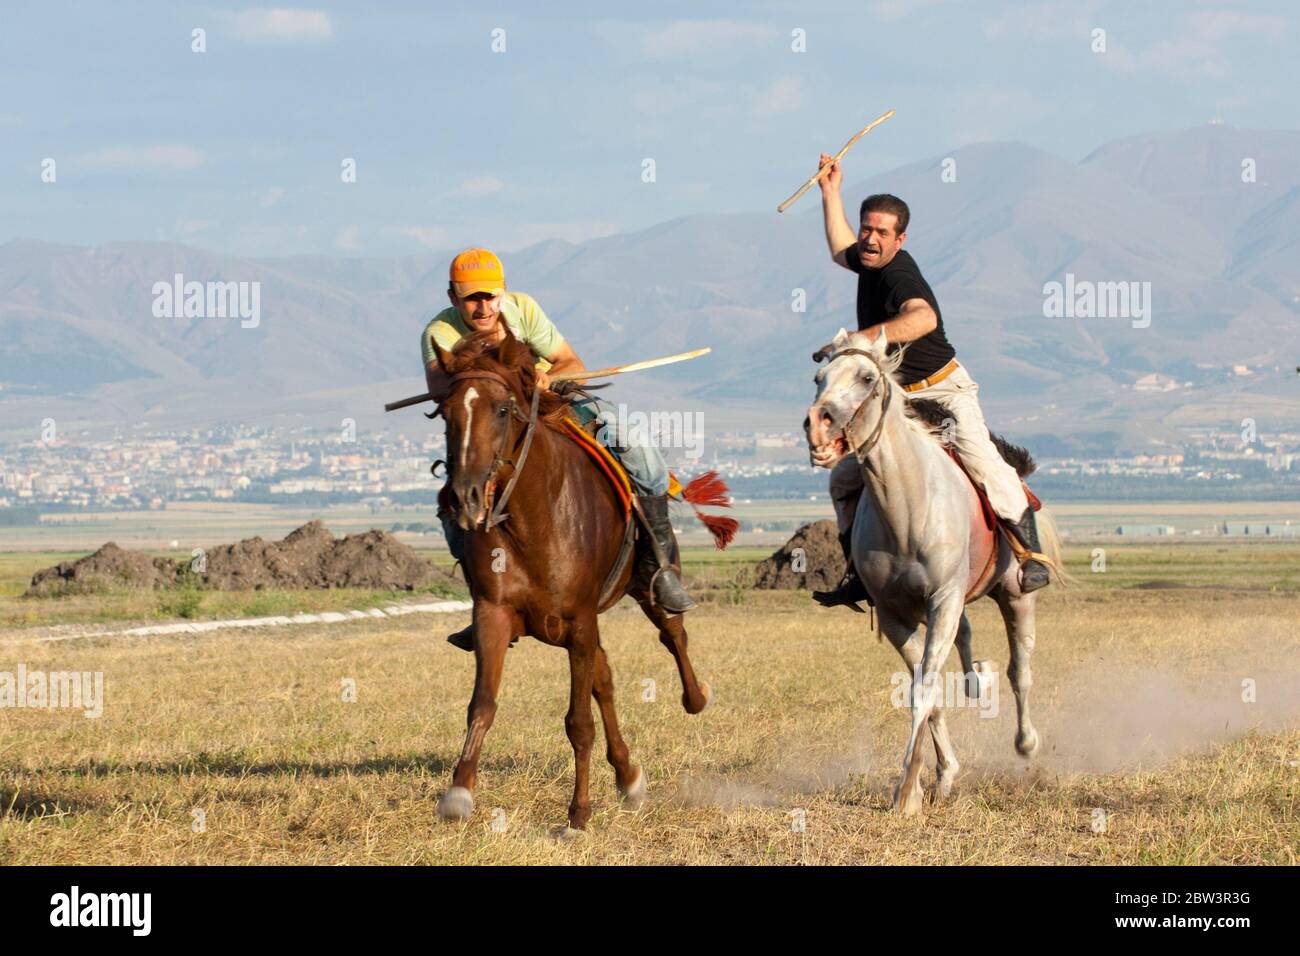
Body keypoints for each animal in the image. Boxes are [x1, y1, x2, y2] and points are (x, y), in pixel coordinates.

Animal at [431, 327, 728, 832]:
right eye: (445, 413)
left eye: (503, 409)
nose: (464, 498)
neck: (533, 517)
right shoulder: (495, 614)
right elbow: (483, 704)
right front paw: (458, 793)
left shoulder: (580, 620)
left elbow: (578, 722)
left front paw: (578, 814)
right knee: (605, 680)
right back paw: (628, 776)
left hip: (642, 587)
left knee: (672, 633)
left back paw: (696, 696)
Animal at [800, 330, 1066, 816]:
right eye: (818, 378)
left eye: (866, 377)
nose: (818, 425)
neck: (906, 506)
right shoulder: (895, 613)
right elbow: (929, 690)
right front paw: (940, 776)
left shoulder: (942, 599)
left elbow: (924, 691)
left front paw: (906, 791)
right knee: (968, 641)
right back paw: (976, 678)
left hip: (1016, 596)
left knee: (1020, 671)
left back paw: (1026, 742)